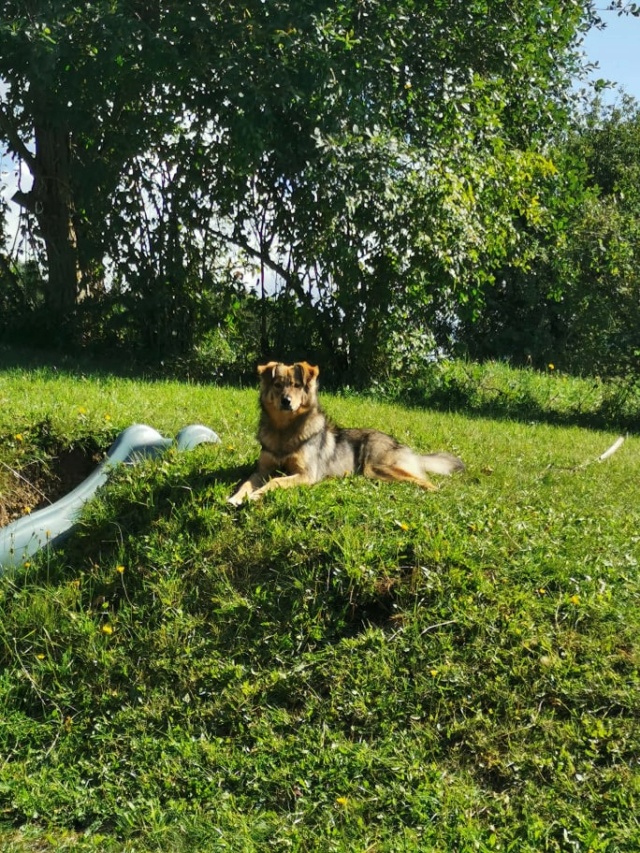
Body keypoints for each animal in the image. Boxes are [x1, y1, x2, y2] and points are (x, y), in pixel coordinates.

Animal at [228, 360, 462, 506]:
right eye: (277, 385)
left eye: (296, 385)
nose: (286, 401)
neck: (284, 430)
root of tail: (396, 442)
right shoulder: (262, 469)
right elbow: (246, 483)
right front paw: (236, 497)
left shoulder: (306, 474)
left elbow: (275, 481)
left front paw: (256, 495)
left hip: (377, 466)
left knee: (421, 479)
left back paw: (433, 489)